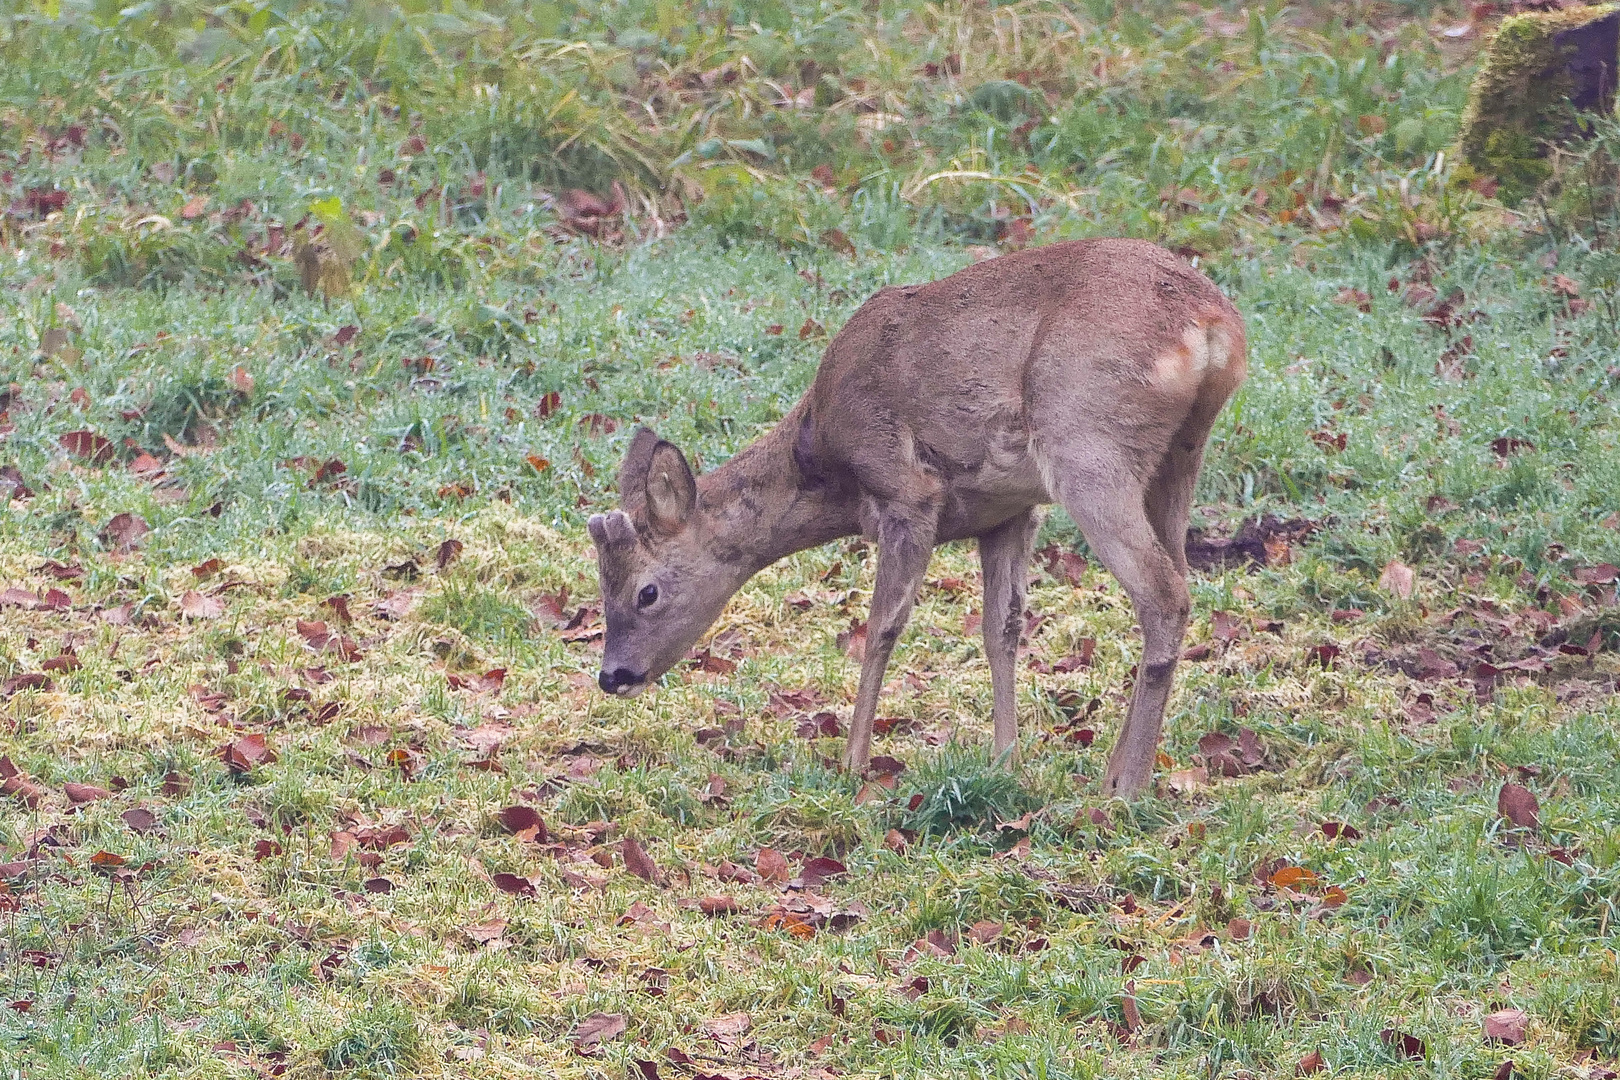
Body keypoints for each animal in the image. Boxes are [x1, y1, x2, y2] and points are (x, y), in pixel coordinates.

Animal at [589, 241, 1244, 799]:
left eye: (646, 591)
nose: (612, 675)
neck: (825, 461)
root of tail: (1214, 325)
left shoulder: (907, 490)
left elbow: (882, 625)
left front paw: (851, 763)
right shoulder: (1008, 512)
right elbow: (1002, 630)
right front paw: (1004, 760)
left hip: (1087, 444)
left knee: (1162, 594)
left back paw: (1126, 787)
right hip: (1178, 455)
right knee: (1177, 577)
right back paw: (1117, 770)